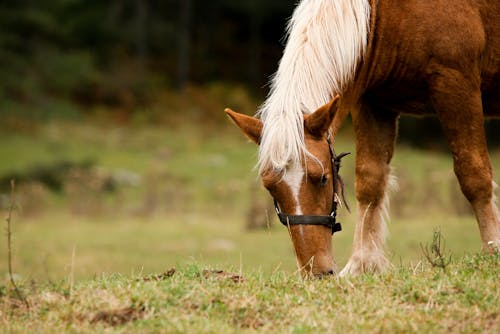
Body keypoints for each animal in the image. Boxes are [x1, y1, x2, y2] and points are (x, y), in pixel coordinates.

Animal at [225, 0, 498, 276]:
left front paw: (492, 250)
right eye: (270, 187)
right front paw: (362, 263)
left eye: (323, 178)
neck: (385, 13)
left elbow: (473, 175)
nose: (316, 272)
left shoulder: (457, 84)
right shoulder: (373, 103)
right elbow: (371, 181)